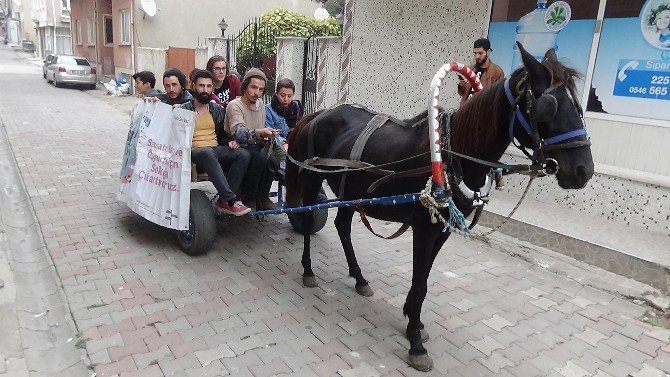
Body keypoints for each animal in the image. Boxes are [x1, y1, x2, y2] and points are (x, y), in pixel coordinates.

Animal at [286, 41, 596, 370]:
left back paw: (359, 278)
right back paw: (308, 271)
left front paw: (413, 318)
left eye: (578, 105)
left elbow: (424, 278)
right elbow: (420, 281)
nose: (583, 170)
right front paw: (415, 342)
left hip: (351, 190)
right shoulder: (424, 228)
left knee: (343, 226)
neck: (453, 152)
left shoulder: (444, 229)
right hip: (312, 181)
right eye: (549, 106)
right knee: (308, 219)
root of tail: (319, 113)